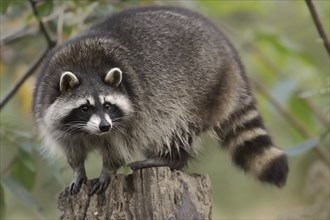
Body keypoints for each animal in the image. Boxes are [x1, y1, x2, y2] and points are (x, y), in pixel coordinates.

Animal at [32, 5, 288, 194]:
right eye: (85, 107)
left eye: (107, 105)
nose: (105, 126)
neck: (85, 67)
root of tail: (231, 55)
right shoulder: (50, 108)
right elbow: (72, 149)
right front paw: (78, 171)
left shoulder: (129, 119)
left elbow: (118, 149)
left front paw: (108, 170)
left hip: (202, 92)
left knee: (179, 129)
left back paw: (171, 159)